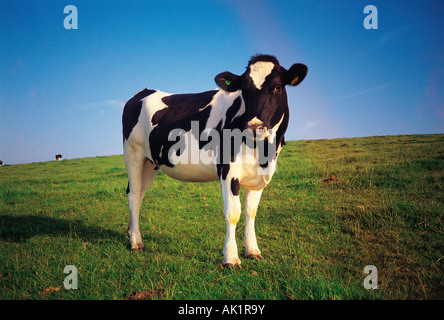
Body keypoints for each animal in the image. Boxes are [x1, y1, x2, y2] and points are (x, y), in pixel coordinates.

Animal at [123, 53, 306, 266]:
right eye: (244, 90)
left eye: (277, 87)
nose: (254, 126)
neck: (263, 152)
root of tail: (143, 91)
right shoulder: (228, 169)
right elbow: (233, 212)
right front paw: (231, 258)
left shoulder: (260, 175)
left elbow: (251, 211)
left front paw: (252, 250)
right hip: (133, 154)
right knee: (134, 194)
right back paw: (135, 242)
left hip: (150, 161)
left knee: (140, 194)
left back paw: (131, 232)